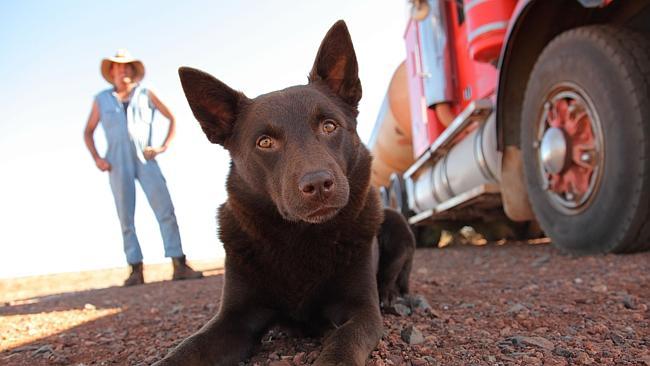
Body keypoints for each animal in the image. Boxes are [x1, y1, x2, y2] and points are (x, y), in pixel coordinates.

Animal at [154, 20, 412, 366]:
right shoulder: (233, 318)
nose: (318, 184)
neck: (298, 237)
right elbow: (190, 347)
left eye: (329, 126)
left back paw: (391, 295)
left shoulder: (361, 312)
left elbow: (344, 341)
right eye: (265, 142)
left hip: (396, 221)